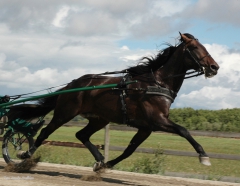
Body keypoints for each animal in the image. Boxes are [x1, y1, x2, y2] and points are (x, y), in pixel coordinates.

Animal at [9, 33, 219, 171]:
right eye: (194, 48)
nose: (214, 67)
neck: (156, 84)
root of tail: (73, 83)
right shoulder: (157, 120)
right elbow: (184, 130)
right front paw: (203, 156)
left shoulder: (146, 127)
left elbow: (129, 150)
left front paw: (106, 165)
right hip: (65, 113)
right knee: (45, 132)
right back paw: (25, 155)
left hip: (99, 118)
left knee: (81, 135)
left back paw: (100, 159)